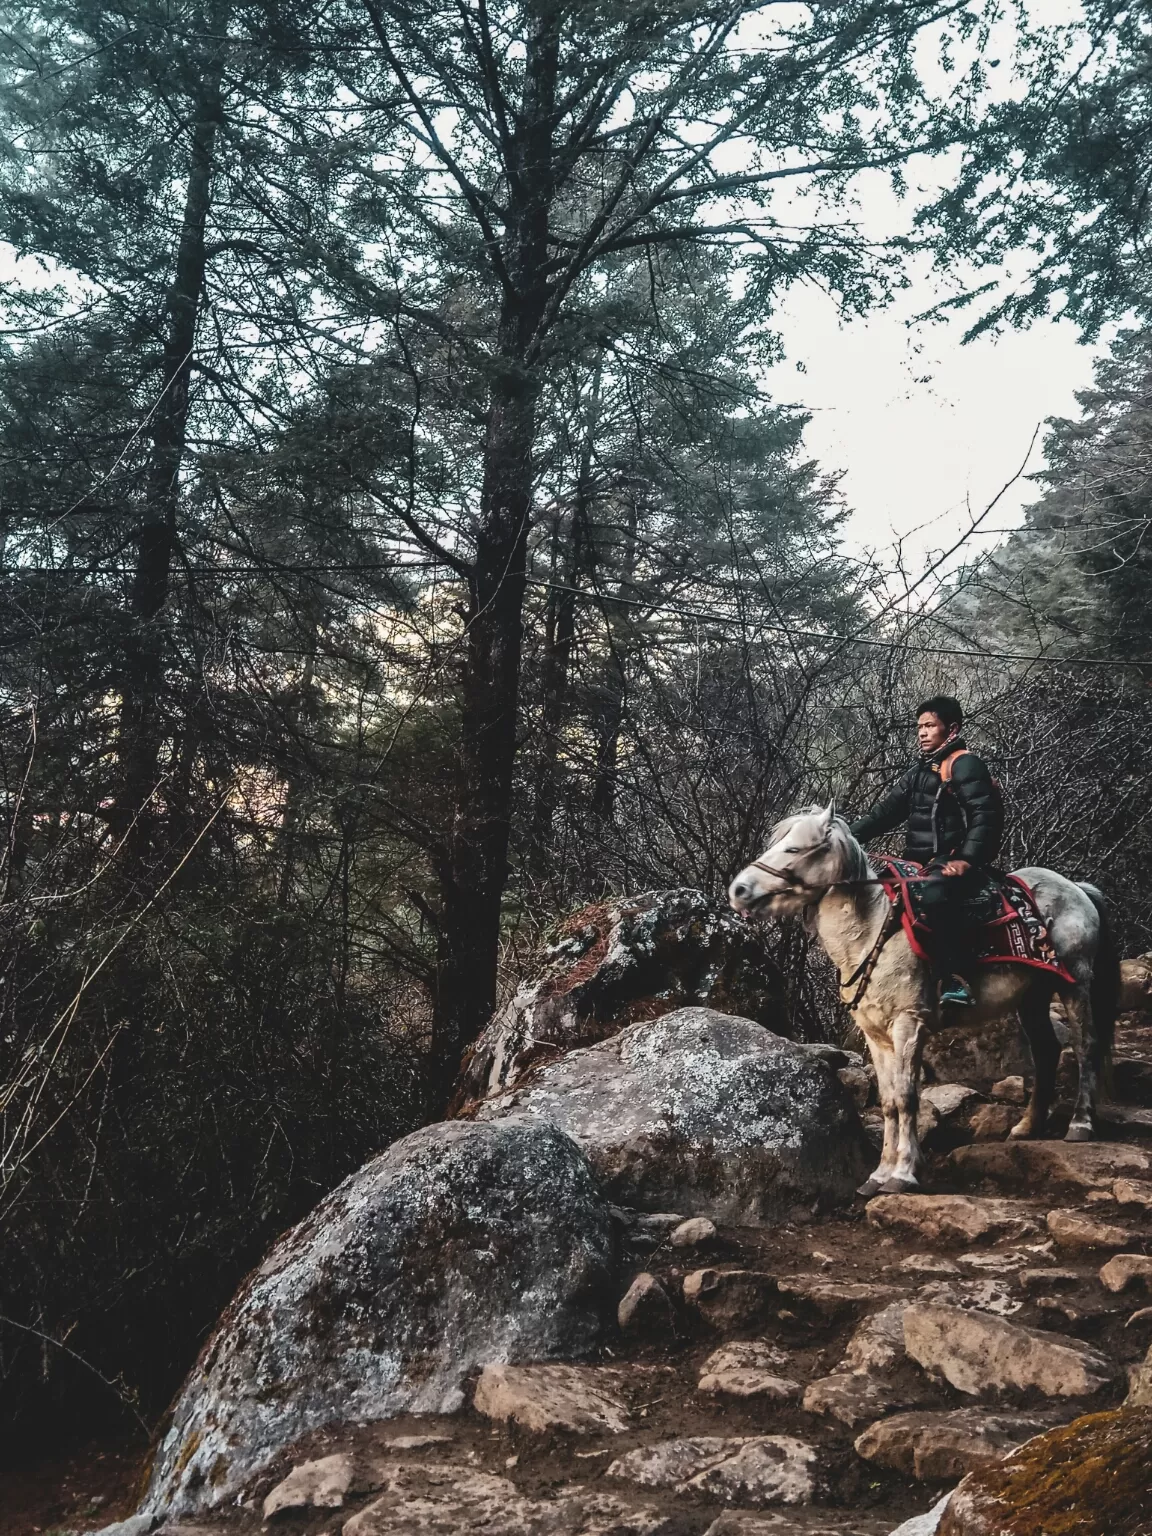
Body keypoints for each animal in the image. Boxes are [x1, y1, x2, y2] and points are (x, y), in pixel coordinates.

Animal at [731, 804, 1118, 1198]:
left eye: (794, 849)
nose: (738, 890)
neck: (872, 932)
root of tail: (1077, 889)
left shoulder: (908, 1024)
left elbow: (906, 1097)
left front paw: (903, 1174)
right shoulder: (876, 1034)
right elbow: (888, 1101)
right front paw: (878, 1175)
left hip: (1075, 983)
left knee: (1085, 1045)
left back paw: (1080, 1125)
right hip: (1033, 996)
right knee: (1046, 1050)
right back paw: (1027, 1127)